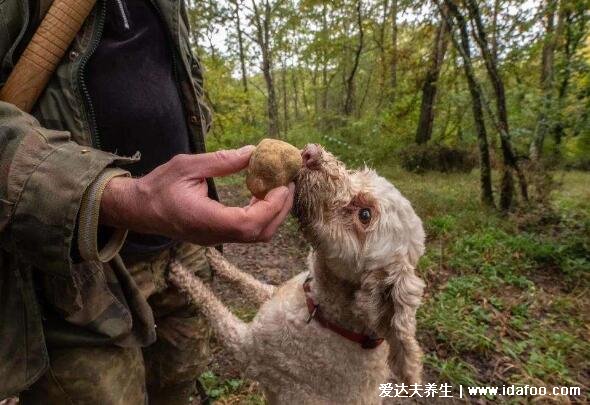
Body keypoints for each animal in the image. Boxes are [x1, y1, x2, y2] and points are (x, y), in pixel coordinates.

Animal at [169, 144, 428, 402]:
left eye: (365, 215)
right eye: (357, 174)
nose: (310, 153)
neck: (321, 310)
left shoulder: (248, 349)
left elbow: (211, 305)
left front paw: (180, 272)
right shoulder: (273, 293)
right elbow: (244, 279)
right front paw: (212, 256)